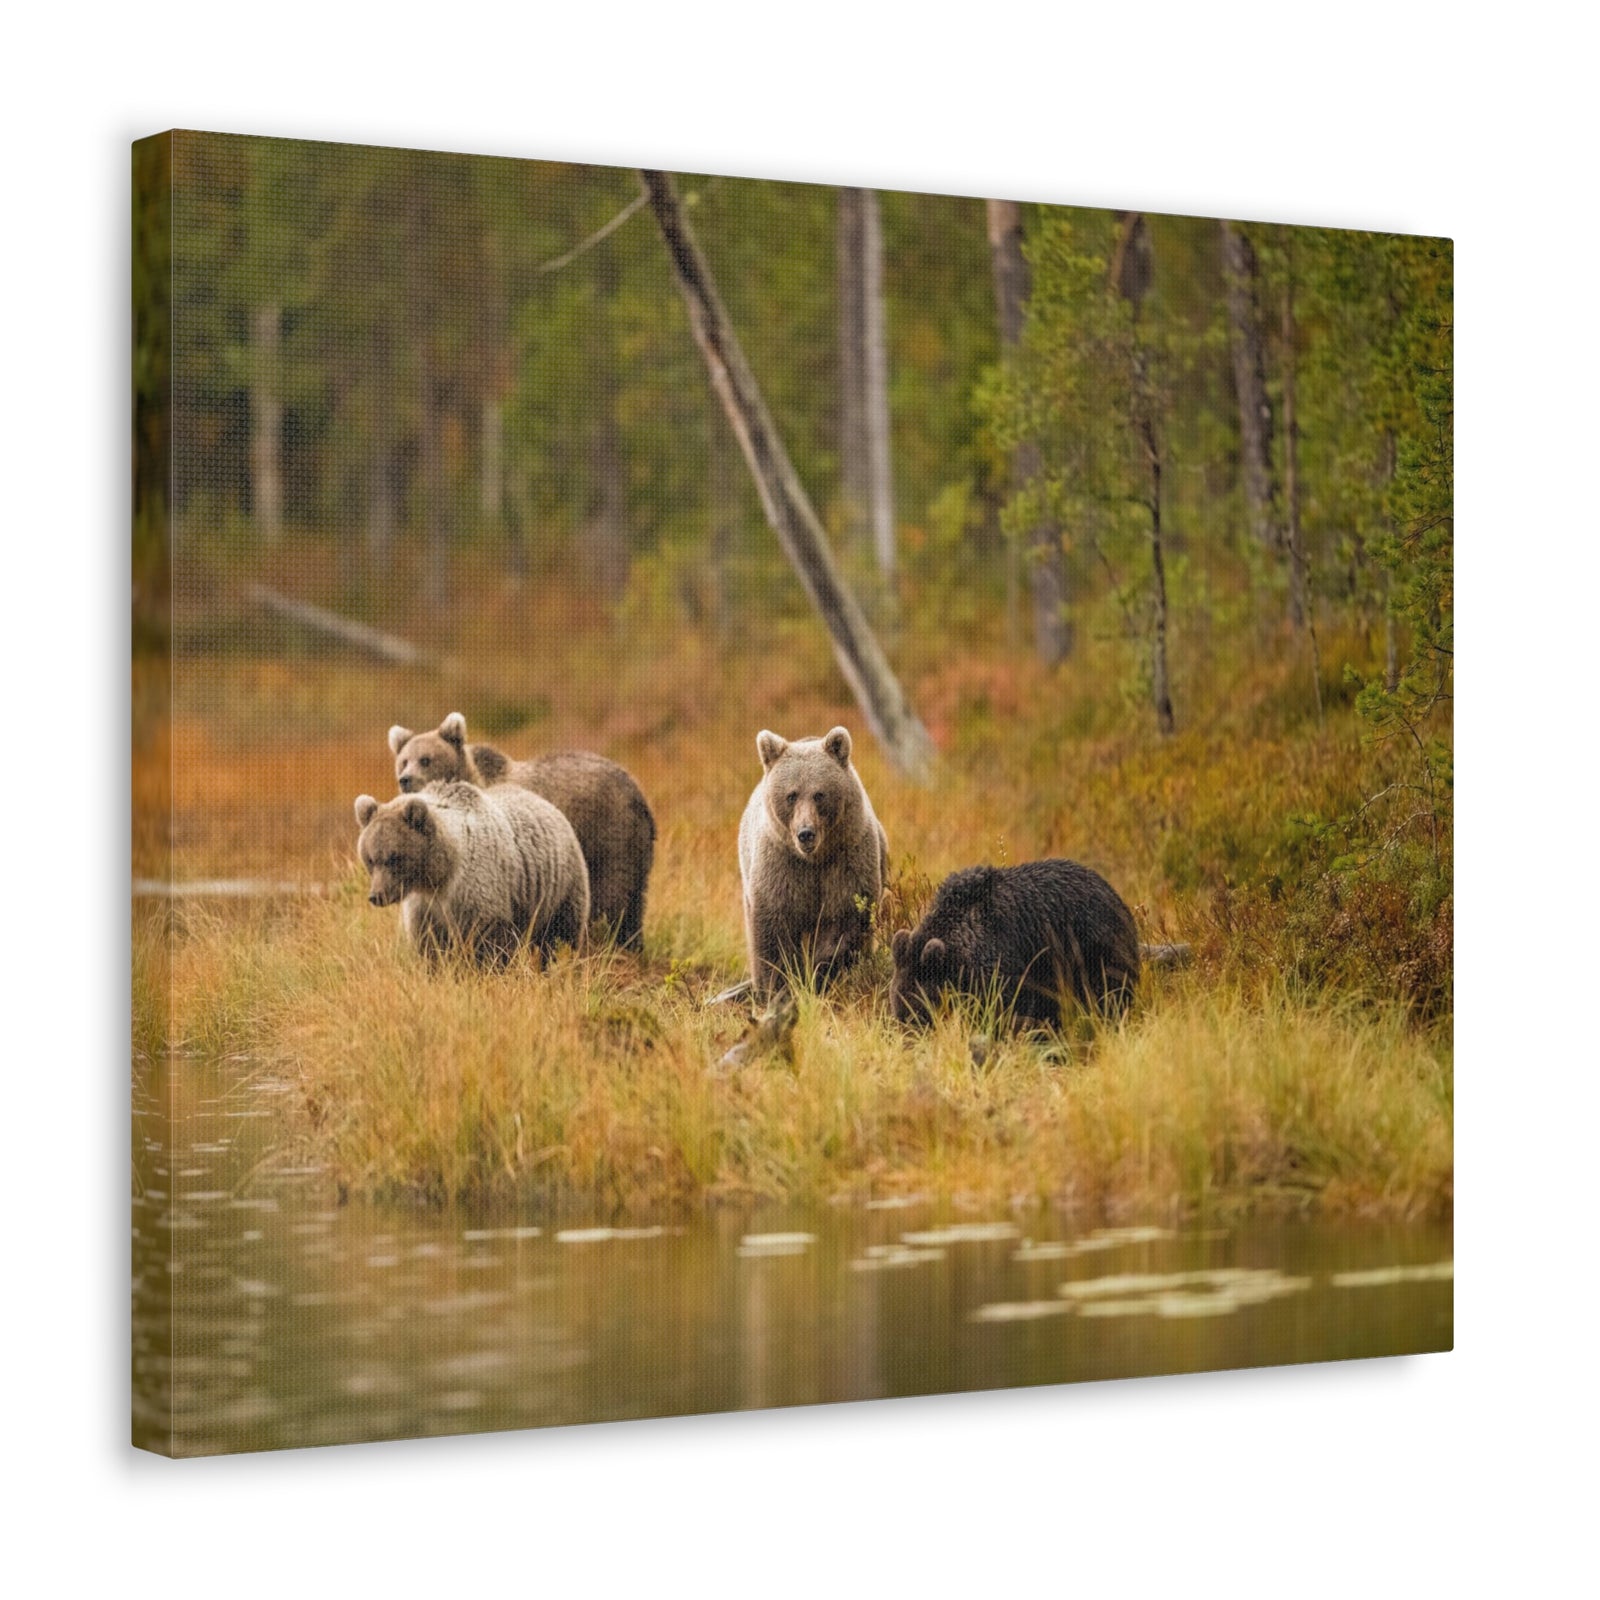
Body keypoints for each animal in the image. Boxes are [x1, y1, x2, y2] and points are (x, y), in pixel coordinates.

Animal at [353, 781, 590, 967]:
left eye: (394, 857)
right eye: (370, 859)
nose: (376, 895)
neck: (438, 874)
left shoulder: (476, 889)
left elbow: (486, 941)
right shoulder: (424, 907)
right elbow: (430, 946)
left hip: (560, 887)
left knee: (561, 935)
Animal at [387, 713, 655, 951]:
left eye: (425, 759)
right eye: (404, 760)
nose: (405, 779)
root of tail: (637, 790)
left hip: (608, 835)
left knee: (611, 897)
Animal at [737, 725, 889, 1000]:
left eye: (819, 794)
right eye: (791, 795)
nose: (805, 833)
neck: (814, 859)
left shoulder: (846, 860)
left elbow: (843, 921)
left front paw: (821, 972)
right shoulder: (781, 865)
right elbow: (774, 929)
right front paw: (779, 986)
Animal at [889, 859, 1141, 1028]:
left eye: (918, 1006)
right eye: (897, 1005)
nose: (907, 1032)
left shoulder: (1005, 964)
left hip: (1094, 950)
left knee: (1108, 995)